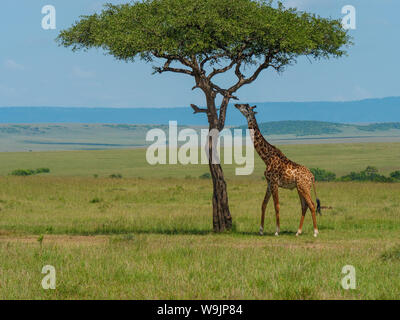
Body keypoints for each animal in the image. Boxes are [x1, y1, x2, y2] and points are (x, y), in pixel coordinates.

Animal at [234, 104, 322, 236]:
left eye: (245, 107)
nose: (236, 105)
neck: (266, 157)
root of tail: (312, 176)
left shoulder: (274, 182)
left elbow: (276, 205)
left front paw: (277, 231)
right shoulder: (269, 183)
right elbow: (263, 204)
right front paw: (261, 230)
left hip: (304, 187)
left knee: (311, 204)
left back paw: (315, 232)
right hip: (300, 188)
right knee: (304, 206)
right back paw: (298, 231)